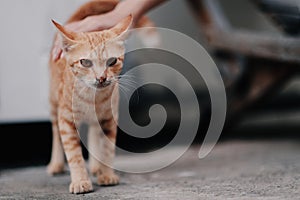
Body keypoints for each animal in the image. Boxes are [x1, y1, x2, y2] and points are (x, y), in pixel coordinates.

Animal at [48, 0, 156, 194]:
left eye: (112, 61)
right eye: (85, 62)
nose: (101, 78)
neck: (93, 98)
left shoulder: (109, 119)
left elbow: (107, 148)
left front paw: (106, 174)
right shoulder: (66, 119)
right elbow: (74, 154)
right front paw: (80, 180)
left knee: (93, 131)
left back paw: (96, 166)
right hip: (54, 103)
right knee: (55, 132)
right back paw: (56, 164)